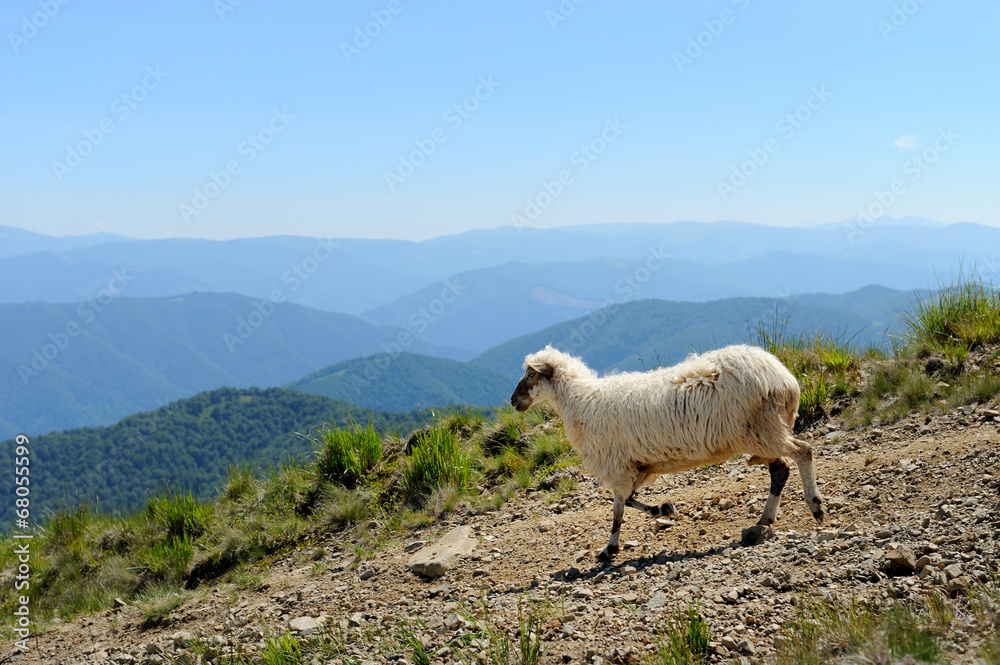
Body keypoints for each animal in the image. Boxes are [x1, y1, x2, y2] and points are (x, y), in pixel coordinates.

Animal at [510, 344, 824, 562]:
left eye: (530, 374)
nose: (513, 401)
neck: (581, 402)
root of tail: (785, 378)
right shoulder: (640, 466)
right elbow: (630, 500)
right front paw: (663, 509)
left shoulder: (616, 465)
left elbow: (617, 509)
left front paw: (610, 548)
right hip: (763, 432)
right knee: (781, 469)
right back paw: (764, 520)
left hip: (761, 430)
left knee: (803, 452)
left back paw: (815, 505)